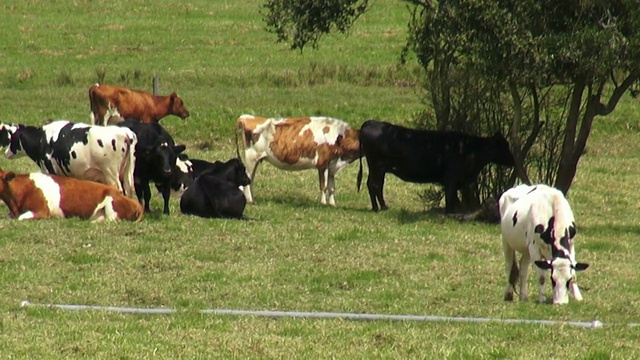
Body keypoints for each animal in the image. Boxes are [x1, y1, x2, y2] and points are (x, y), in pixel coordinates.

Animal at [0, 120, 136, 197]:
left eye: (12, 138)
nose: (5, 153)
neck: (41, 139)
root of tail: (124, 132)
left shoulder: (50, 168)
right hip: (126, 172)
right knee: (129, 189)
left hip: (110, 172)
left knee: (118, 189)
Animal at [358, 118, 516, 214]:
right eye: (505, 146)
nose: (513, 161)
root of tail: (371, 122)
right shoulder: (451, 177)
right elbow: (450, 196)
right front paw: (450, 213)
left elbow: (453, 197)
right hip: (377, 165)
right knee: (374, 184)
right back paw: (379, 207)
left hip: (379, 168)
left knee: (375, 184)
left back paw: (380, 206)